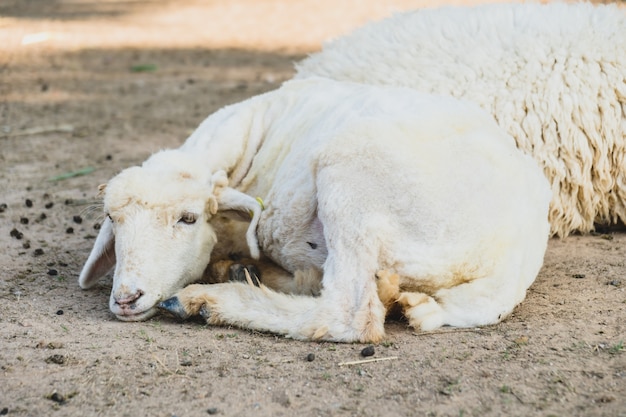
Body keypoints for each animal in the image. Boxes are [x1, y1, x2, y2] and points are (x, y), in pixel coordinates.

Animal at [80, 78, 548, 342]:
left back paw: (209, 299)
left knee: (349, 315)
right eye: (112, 219)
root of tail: (509, 263)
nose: (126, 298)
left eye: (188, 218)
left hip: (351, 172)